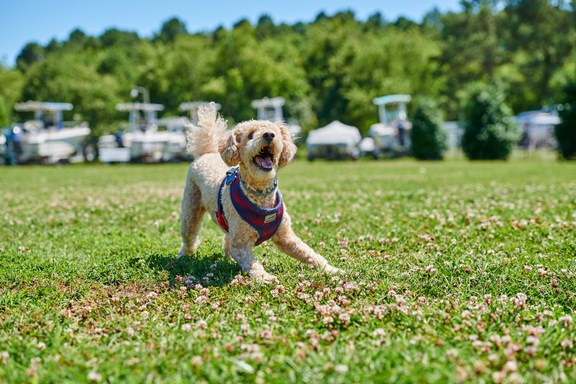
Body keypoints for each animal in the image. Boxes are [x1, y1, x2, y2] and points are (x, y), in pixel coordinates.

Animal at [179, 103, 342, 284]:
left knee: (227, 238)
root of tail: (207, 152)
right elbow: (251, 263)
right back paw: (183, 256)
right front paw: (265, 277)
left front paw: (331, 269)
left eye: (275, 132)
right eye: (250, 135)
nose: (269, 135)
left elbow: (309, 253)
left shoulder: (286, 237)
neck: (260, 194)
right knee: (189, 236)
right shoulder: (241, 245)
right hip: (191, 208)